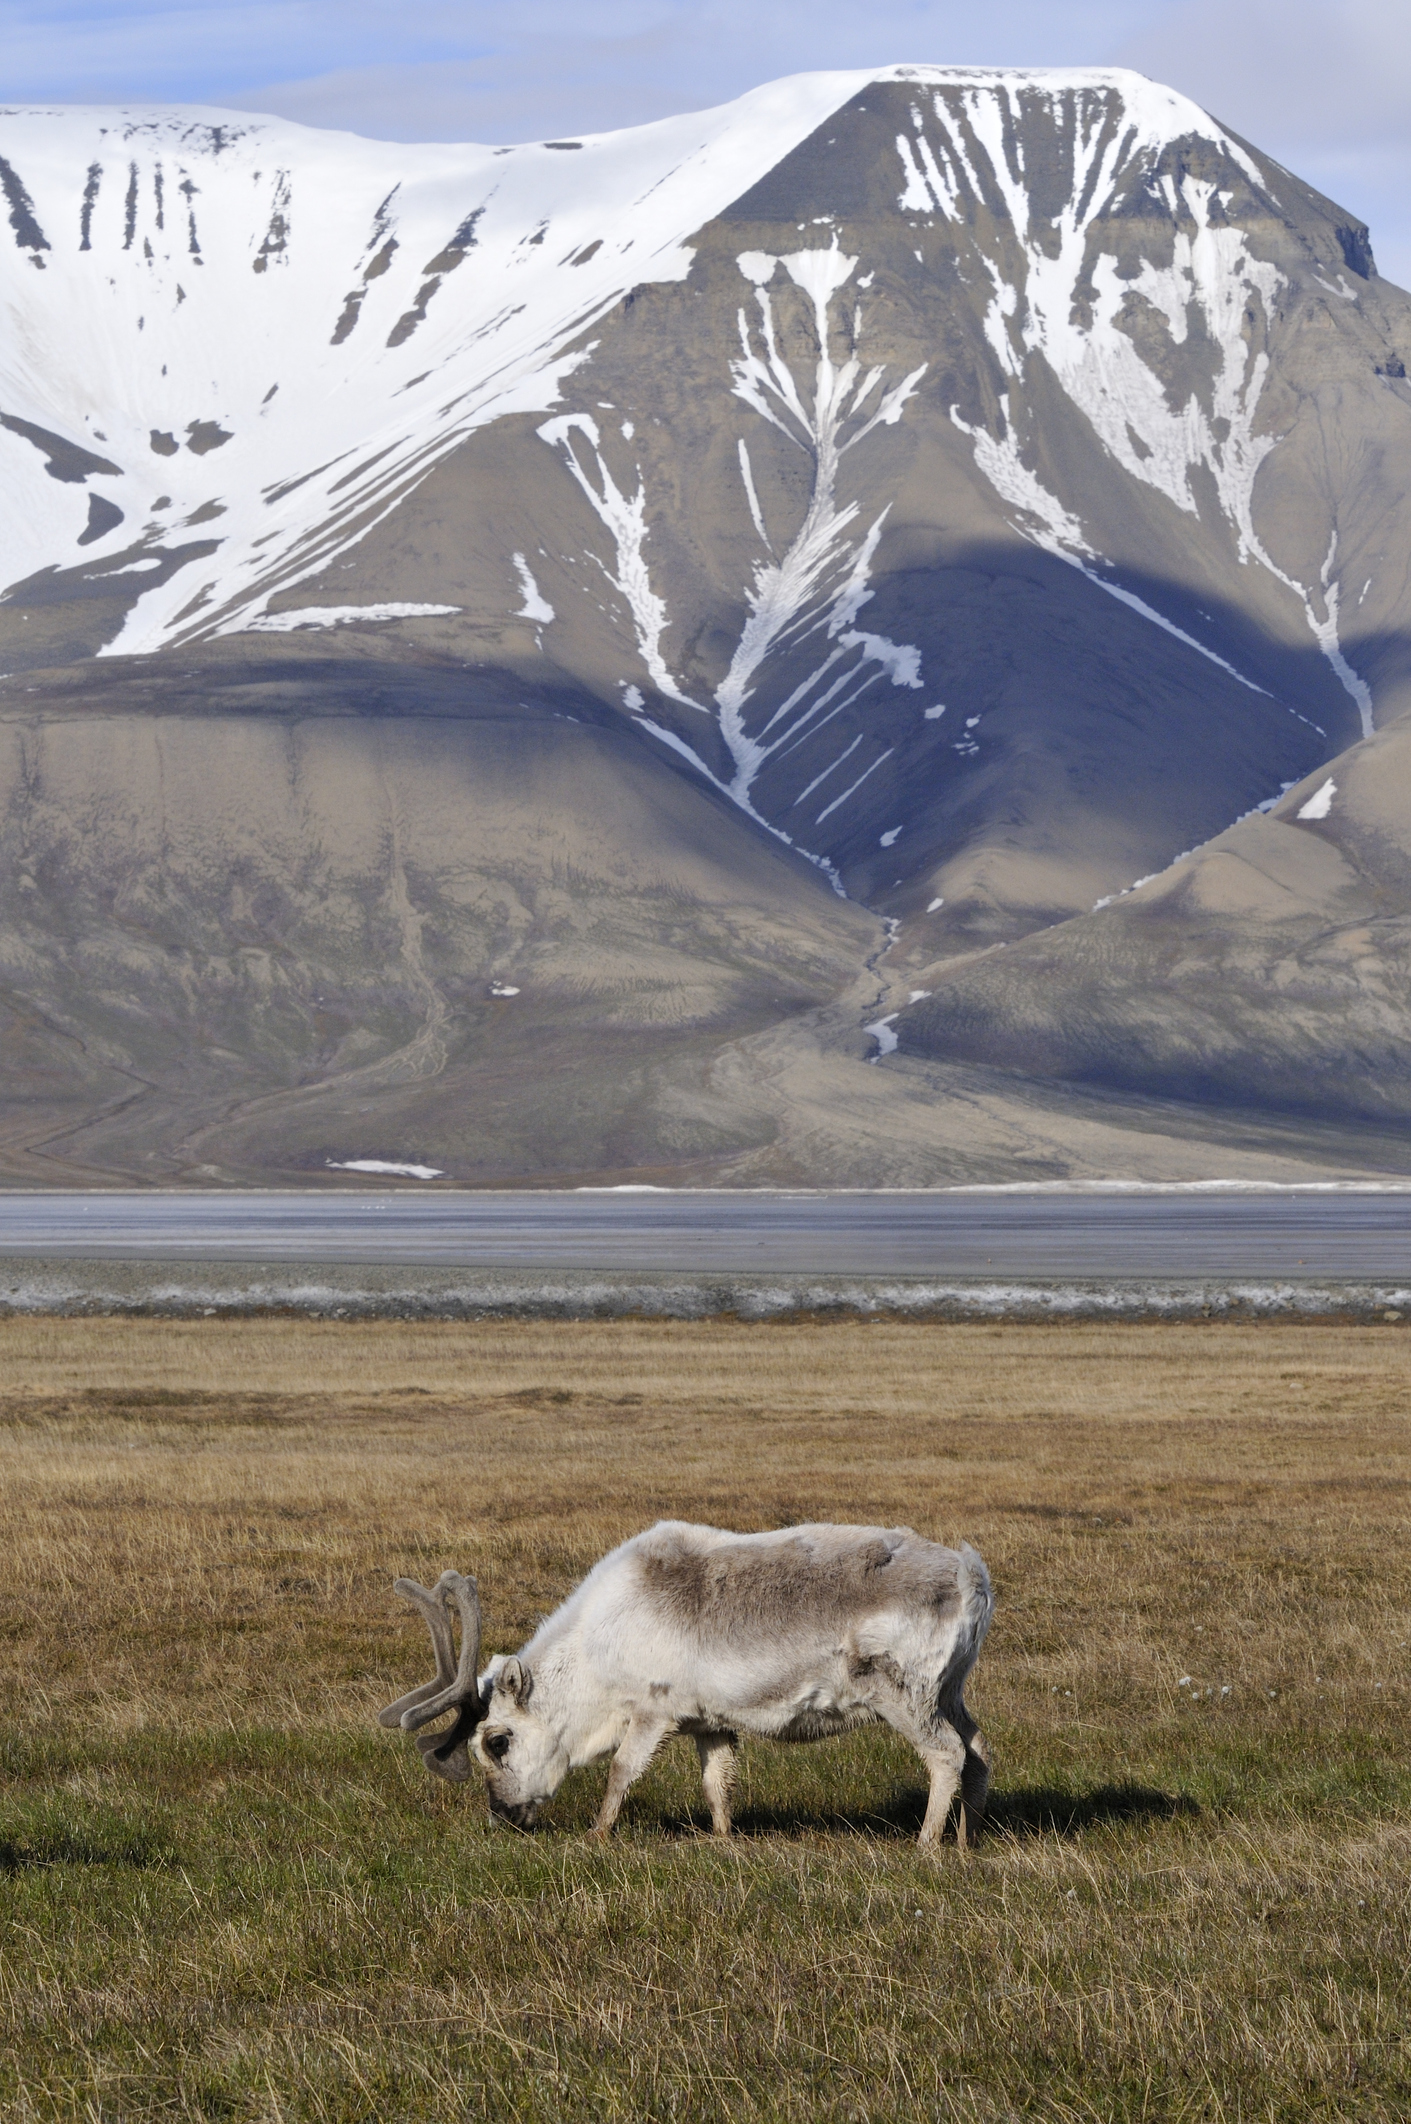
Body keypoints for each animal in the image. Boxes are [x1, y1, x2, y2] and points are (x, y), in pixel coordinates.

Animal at [379, 1520, 994, 1847]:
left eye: (497, 1740)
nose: (503, 1815)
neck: (596, 1648)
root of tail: (973, 1577)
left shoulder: (654, 1709)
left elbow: (621, 1770)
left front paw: (597, 1835)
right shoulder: (710, 1722)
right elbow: (717, 1783)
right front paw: (723, 1840)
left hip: (905, 1694)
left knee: (946, 1754)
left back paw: (926, 1845)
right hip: (951, 1692)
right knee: (979, 1750)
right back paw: (967, 1841)